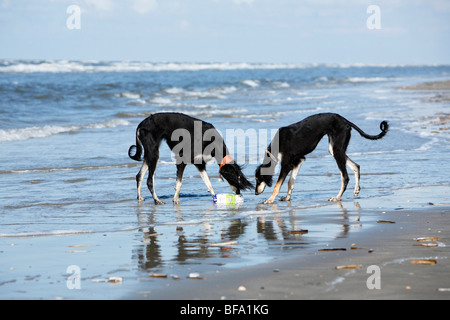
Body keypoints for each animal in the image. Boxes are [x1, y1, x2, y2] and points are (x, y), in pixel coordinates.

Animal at [255, 113, 388, 202]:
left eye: (258, 179)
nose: (255, 193)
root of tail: (345, 120)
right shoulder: (299, 160)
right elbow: (290, 181)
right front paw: (287, 198)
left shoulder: (286, 165)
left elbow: (277, 185)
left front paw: (270, 199)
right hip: (334, 149)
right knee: (356, 166)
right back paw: (356, 190)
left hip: (337, 150)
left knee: (345, 177)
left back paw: (337, 197)